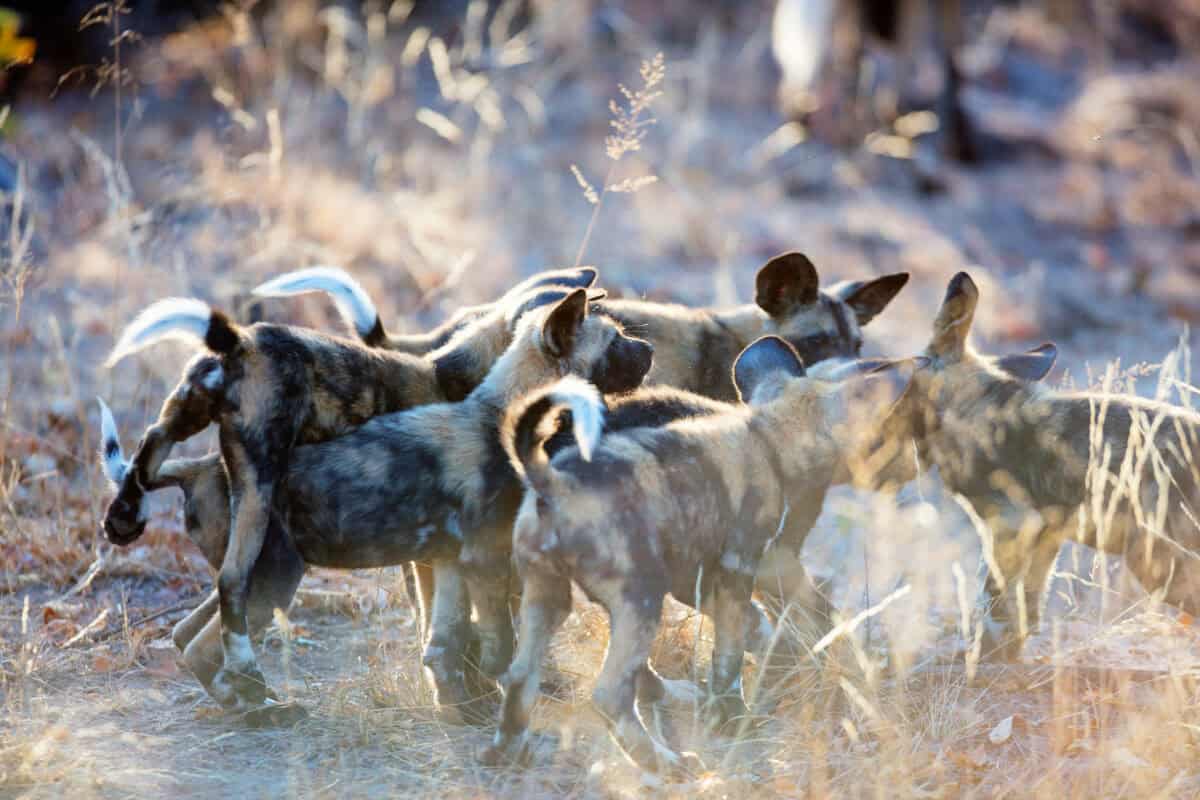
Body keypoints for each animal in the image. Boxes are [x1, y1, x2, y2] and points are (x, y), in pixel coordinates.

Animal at [100, 289, 657, 719]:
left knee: (187, 629)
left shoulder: (447, 562)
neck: (502, 412)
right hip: (271, 566)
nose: (650, 347)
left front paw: (464, 706)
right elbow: (495, 642)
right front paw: (495, 703)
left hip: (250, 545)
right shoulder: (484, 562)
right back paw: (259, 707)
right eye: (615, 341)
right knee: (215, 623)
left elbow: (445, 642)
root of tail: (198, 468)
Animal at [868, 272, 1200, 662]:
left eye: (903, 391)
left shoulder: (1010, 524)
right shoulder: (1045, 533)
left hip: (1155, 561)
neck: (975, 413)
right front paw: (1009, 653)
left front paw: (983, 655)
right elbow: (1025, 604)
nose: (872, 444)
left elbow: (994, 599)